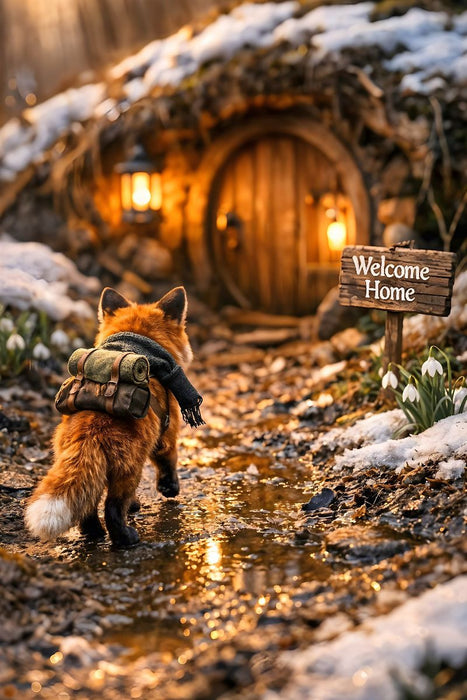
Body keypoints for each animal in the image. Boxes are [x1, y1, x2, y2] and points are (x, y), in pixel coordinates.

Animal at [25, 286, 194, 546]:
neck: (135, 344)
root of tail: (90, 432)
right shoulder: (166, 433)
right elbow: (168, 463)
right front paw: (169, 489)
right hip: (129, 472)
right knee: (112, 508)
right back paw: (125, 538)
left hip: (91, 471)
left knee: (88, 507)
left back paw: (93, 533)